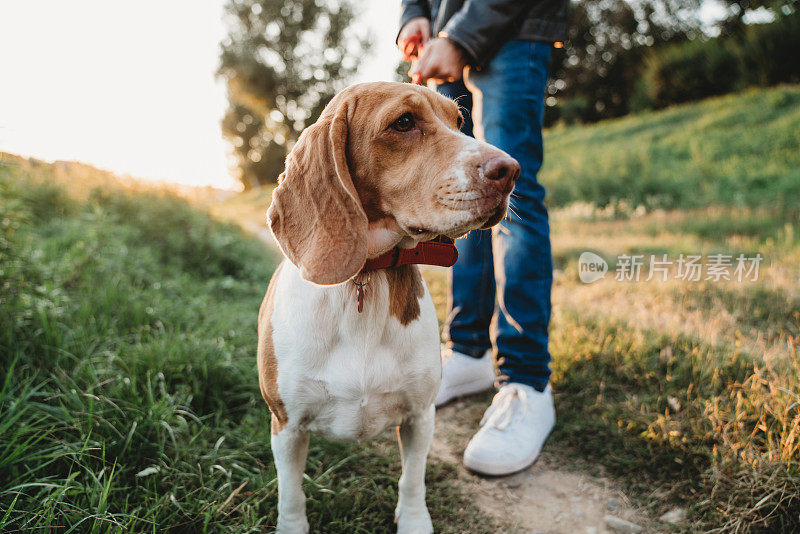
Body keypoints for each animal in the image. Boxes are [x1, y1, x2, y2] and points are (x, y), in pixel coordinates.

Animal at [258, 81, 520, 532]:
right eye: (404, 122)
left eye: (459, 121)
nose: (511, 170)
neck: (368, 274)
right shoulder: (286, 425)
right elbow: (291, 495)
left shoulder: (420, 416)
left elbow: (412, 481)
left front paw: (413, 521)